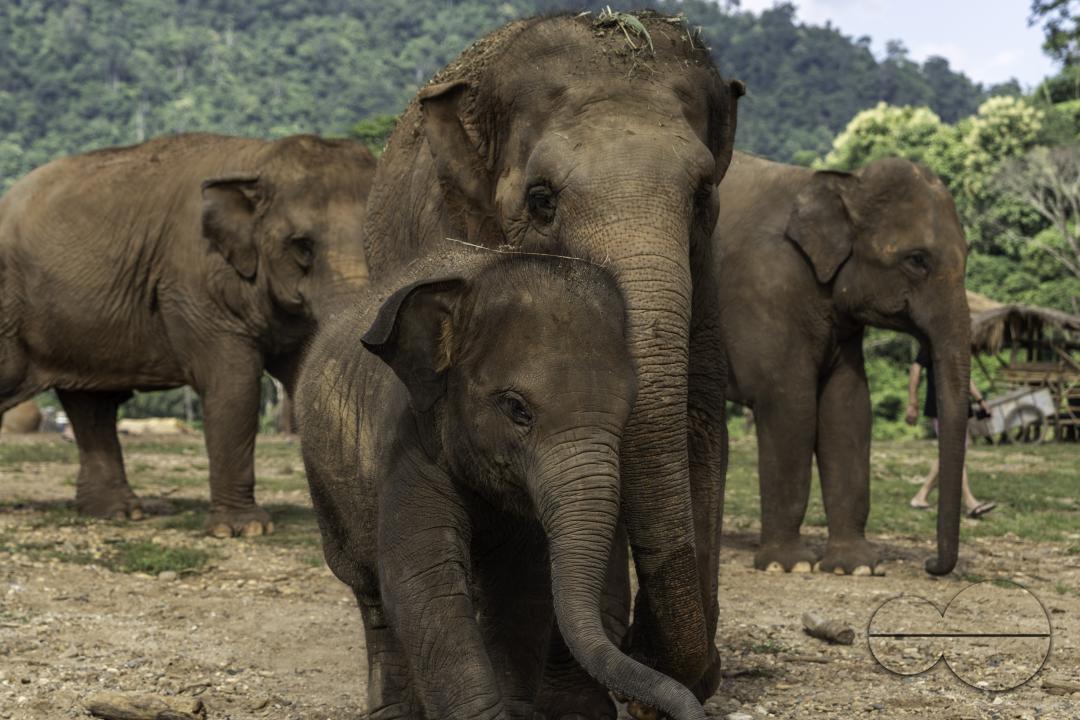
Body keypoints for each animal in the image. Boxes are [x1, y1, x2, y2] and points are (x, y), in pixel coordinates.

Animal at [0, 133, 374, 536]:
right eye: (302, 246)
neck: (257, 158)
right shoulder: (195, 290)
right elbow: (234, 385)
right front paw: (243, 529)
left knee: (92, 406)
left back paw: (119, 513)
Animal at [295, 247, 706, 720]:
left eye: (627, 412)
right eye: (517, 408)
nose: (648, 708)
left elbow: (521, 587)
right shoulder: (409, 445)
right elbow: (422, 583)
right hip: (326, 488)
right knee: (370, 593)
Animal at [714, 151, 971, 576]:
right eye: (917, 260)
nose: (931, 564)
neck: (845, 184)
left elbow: (848, 408)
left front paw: (856, 567)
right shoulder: (764, 288)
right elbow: (789, 405)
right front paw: (789, 566)